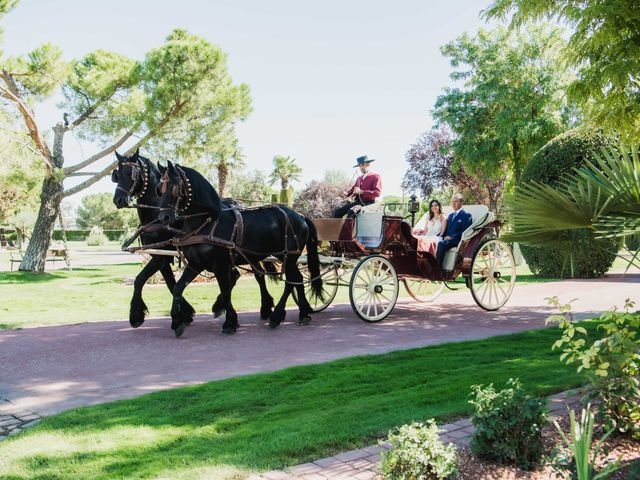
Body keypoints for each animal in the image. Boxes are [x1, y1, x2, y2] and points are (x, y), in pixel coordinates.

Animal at [112, 152, 276, 332]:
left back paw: (264, 308)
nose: (118, 200)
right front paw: (185, 313)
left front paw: (137, 315)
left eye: (130, 173)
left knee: (258, 275)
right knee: (238, 275)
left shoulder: (162, 256)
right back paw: (221, 305)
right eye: (117, 175)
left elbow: (141, 280)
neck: (156, 215)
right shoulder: (160, 254)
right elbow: (170, 283)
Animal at [158, 161, 322, 334]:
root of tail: (301, 216)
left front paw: (230, 322)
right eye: (160, 189)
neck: (206, 223)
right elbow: (178, 288)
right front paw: (177, 321)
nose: (164, 217)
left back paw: (277, 316)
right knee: (297, 279)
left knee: (291, 281)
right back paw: (303, 314)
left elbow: (225, 291)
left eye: (174, 188)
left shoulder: (220, 266)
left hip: (288, 257)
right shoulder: (195, 264)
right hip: (287, 258)